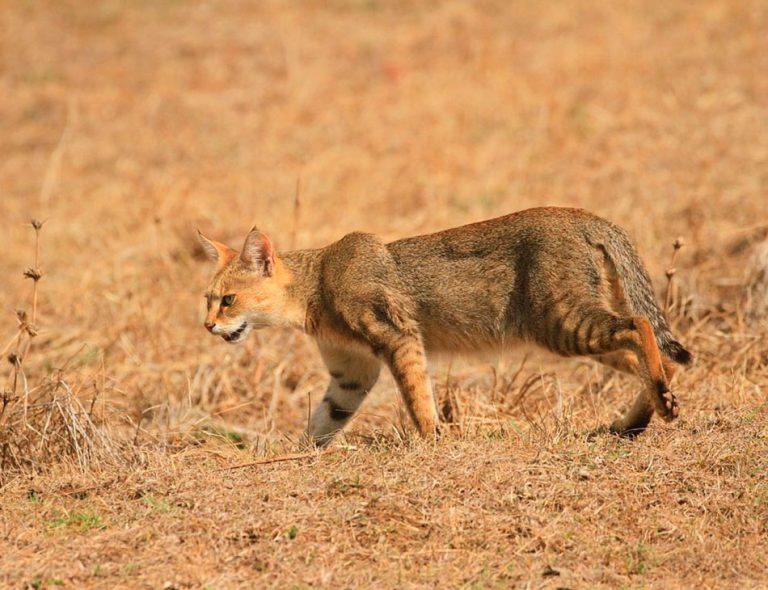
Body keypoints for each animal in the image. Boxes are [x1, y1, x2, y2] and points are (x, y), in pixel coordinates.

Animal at [196, 209, 688, 448]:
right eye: (207, 298)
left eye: (228, 299)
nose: (207, 325)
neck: (315, 286)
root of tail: (582, 215)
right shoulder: (352, 373)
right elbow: (325, 419)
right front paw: (299, 454)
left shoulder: (397, 337)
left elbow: (417, 397)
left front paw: (433, 439)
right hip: (572, 330)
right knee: (659, 359)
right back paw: (638, 419)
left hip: (562, 322)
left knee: (642, 325)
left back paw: (658, 408)